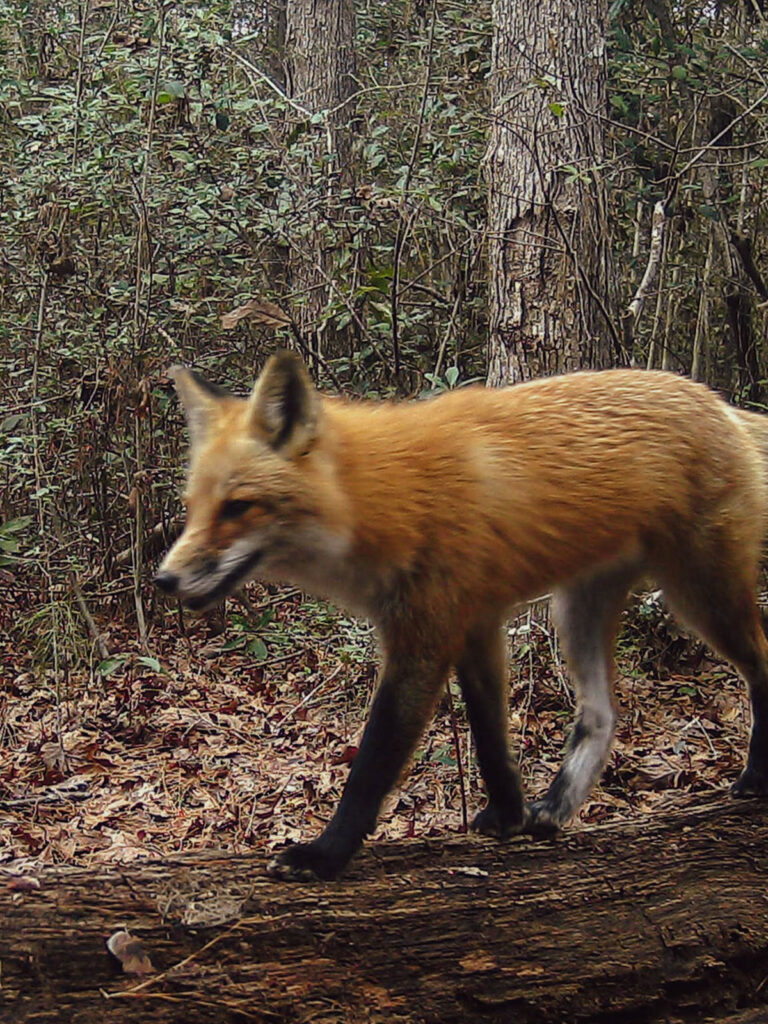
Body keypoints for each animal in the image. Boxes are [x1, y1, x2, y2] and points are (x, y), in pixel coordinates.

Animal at [156, 351, 768, 881]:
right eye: (192, 509)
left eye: (238, 507)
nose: (164, 580)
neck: (383, 496)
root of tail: (714, 400)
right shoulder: (475, 624)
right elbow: (489, 735)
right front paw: (510, 814)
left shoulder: (424, 639)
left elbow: (374, 763)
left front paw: (325, 853)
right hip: (576, 610)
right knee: (601, 715)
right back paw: (556, 807)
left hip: (700, 593)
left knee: (760, 664)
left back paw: (756, 776)